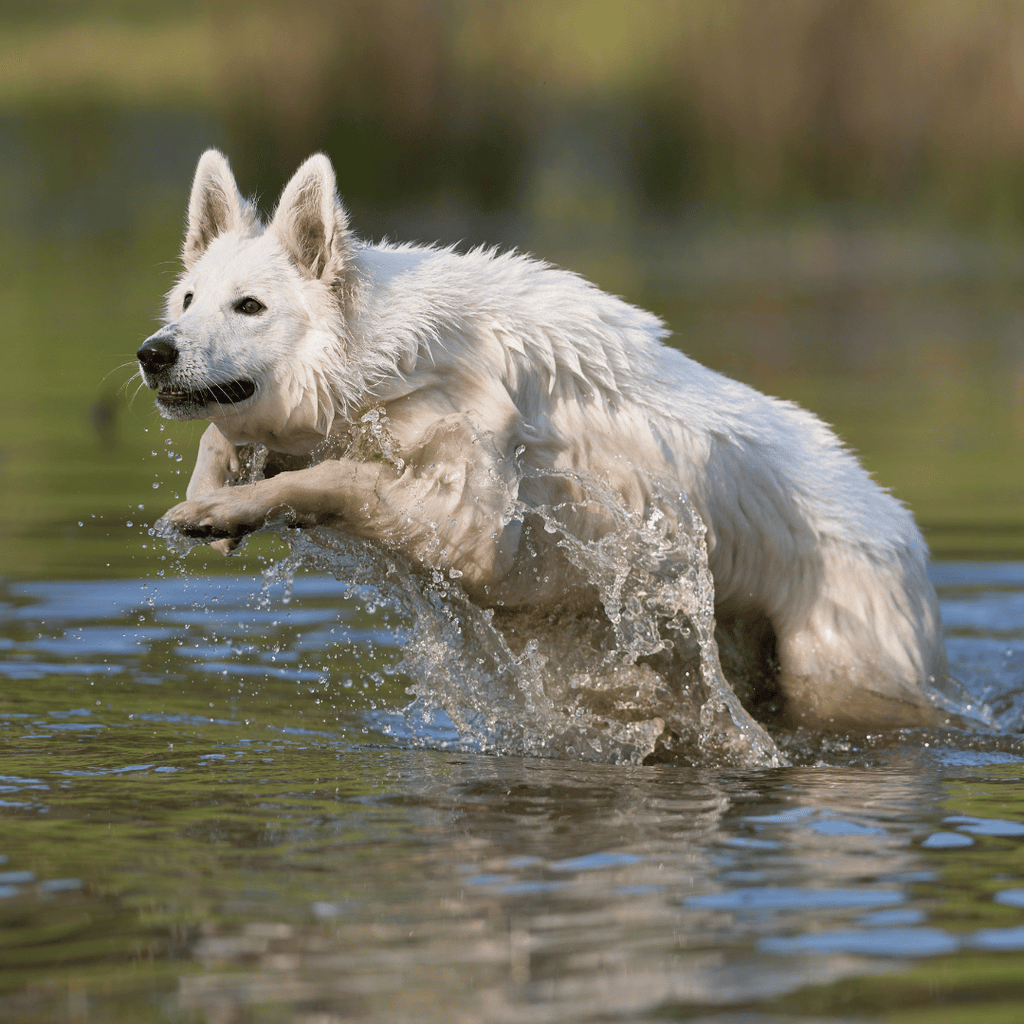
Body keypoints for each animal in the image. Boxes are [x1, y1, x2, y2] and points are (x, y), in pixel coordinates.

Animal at [138, 148, 966, 733]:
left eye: (250, 306)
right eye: (188, 300)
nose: (154, 353)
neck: (388, 354)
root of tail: (903, 527)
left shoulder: (475, 521)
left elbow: (340, 478)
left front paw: (225, 509)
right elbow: (237, 441)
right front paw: (218, 490)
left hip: (838, 664)